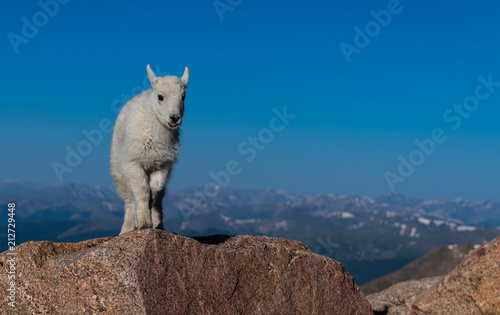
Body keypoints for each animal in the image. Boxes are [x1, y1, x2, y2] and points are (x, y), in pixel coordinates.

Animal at [111, 65, 189, 236]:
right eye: (160, 96)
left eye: (183, 97)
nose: (174, 118)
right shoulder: (133, 163)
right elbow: (142, 191)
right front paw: (144, 223)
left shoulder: (163, 165)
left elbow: (154, 191)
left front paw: (150, 221)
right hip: (119, 172)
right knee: (129, 200)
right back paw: (127, 229)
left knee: (159, 200)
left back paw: (159, 226)